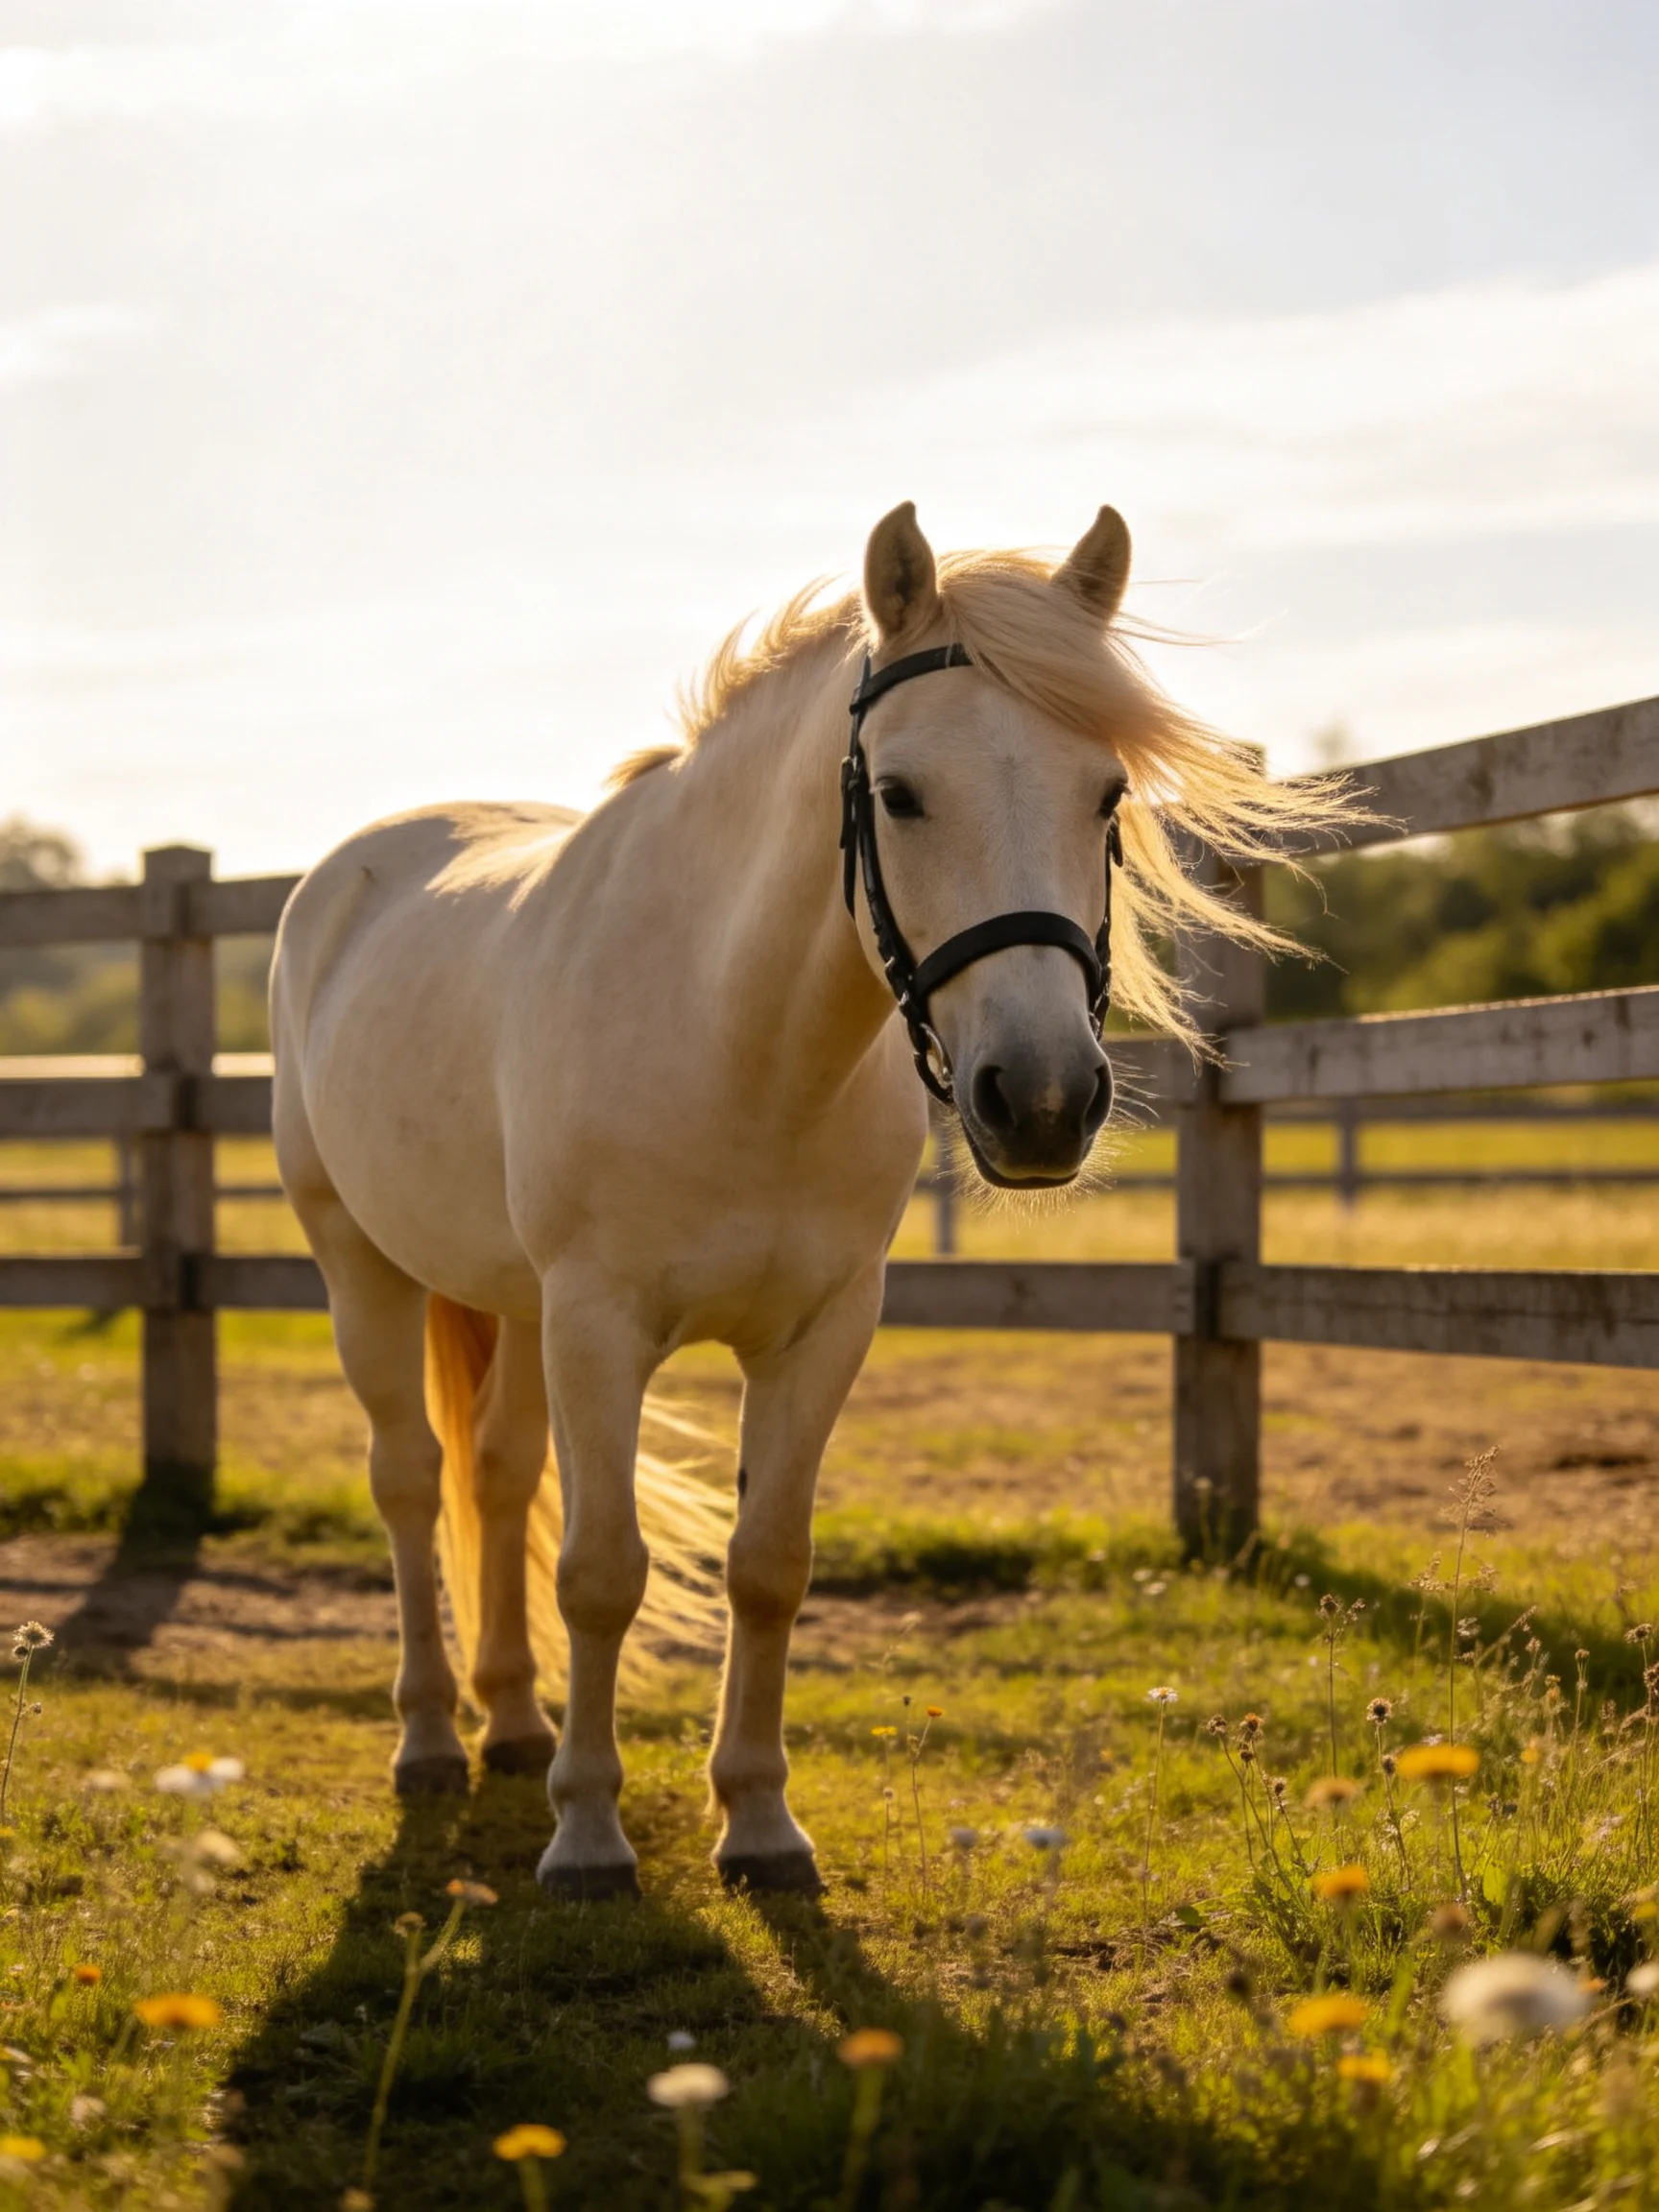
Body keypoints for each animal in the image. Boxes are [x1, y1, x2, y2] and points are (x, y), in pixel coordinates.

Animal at [270, 501, 1347, 1897]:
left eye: (1107, 794)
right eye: (899, 793)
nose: (1043, 1100)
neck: (737, 1042)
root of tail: (349, 873)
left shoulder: (822, 1331)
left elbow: (767, 1568)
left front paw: (761, 1824)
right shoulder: (599, 1328)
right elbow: (603, 1573)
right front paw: (589, 1837)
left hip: (505, 1299)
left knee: (497, 1478)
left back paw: (510, 1725)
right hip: (363, 1266)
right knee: (409, 1479)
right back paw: (431, 1745)